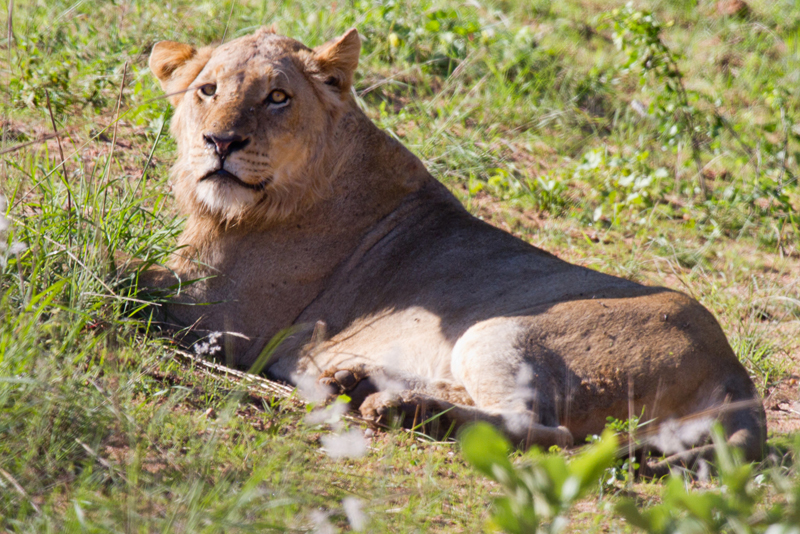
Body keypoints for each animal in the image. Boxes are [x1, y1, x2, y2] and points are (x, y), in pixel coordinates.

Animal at [147, 27, 764, 472]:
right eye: (208, 90)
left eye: (278, 98)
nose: (220, 142)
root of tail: (736, 376)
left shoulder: (219, 314)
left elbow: (133, 279)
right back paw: (356, 383)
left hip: (503, 332)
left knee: (547, 430)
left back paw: (396, 408)